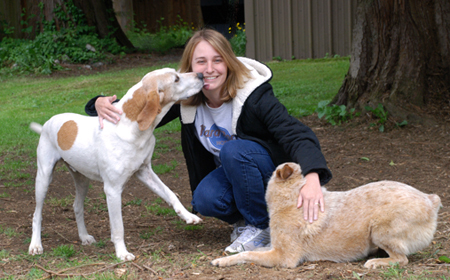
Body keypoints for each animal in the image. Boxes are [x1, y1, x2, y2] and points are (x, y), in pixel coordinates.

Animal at [28, 68, 204, 260]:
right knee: (37, 215)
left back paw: (84, 236)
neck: (130, 127)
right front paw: (122, 253)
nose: (201, 75)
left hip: (82, 181)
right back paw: (35, 245)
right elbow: (118, 227)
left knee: (77, 207)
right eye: (176, 79)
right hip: (44, 179)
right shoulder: (112, 190)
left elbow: (171, 194)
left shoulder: (145, 172)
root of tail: (47, 123)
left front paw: (188, 216)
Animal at [213, 162, 442, 270]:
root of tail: (430, 200)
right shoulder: (275, 248)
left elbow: (247, 255)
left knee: (402, 259)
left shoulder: (284, 257)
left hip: (379, 230)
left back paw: (377, 262)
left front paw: (221, 261)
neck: (292, 198)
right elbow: (252, 251)